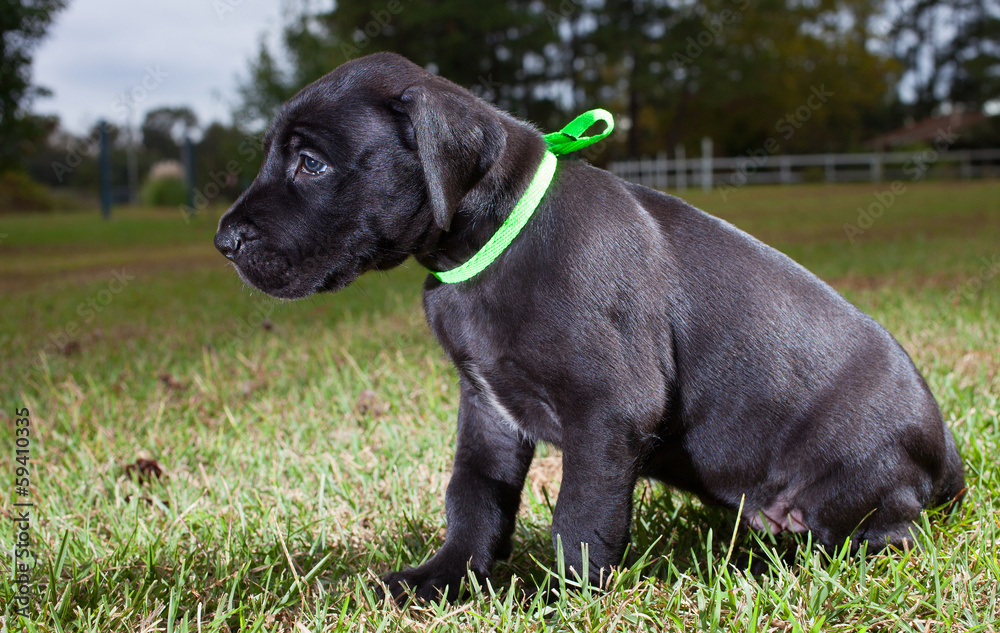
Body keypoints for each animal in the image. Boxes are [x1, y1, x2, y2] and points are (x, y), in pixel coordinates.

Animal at [215, 53, 964, 596]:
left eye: (310, 163)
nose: (224, 241)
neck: (491, 240)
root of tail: (949, 457)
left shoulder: (608, 410)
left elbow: (580, 517)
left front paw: (561, 600)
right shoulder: (487, 409)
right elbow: (473, 498)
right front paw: (443, 578)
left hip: (853, 495)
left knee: (889, 535)